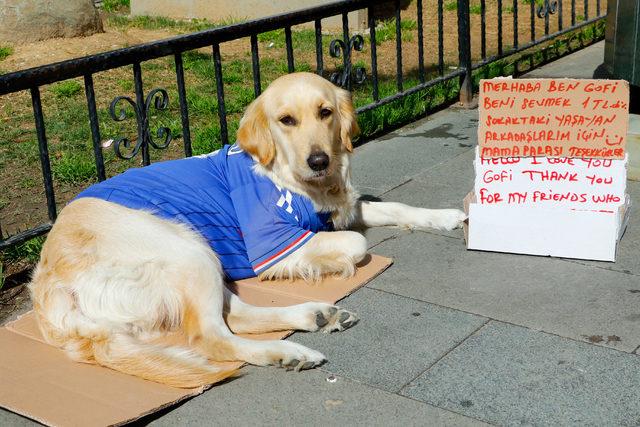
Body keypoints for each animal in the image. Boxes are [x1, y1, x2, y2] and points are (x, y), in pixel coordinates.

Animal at [27, 72, 464, 388]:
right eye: (286, 120)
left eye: (325, 112)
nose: (319, 161)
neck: (293, 180)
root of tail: (47, 288)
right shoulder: (275, 243)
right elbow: (356, 243)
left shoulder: (342, 208)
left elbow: (393, 206)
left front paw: (445, 215)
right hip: (186, 248)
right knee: (211, 335)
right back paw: (289, 352)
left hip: (200, 257)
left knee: (234, 315)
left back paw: (315, 315)